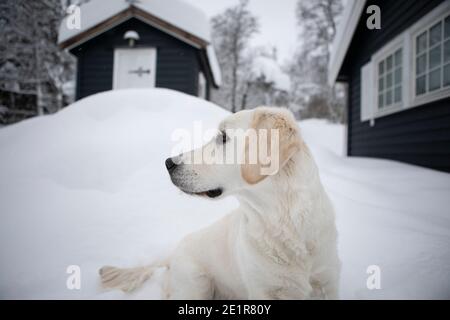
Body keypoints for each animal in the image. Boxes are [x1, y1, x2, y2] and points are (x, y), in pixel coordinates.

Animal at [100, 107, 342, 300]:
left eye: (223, 137)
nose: (168, 163)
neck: (284, 222)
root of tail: (171, 255)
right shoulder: (264, 290)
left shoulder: (328, 283)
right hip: (197, 284)